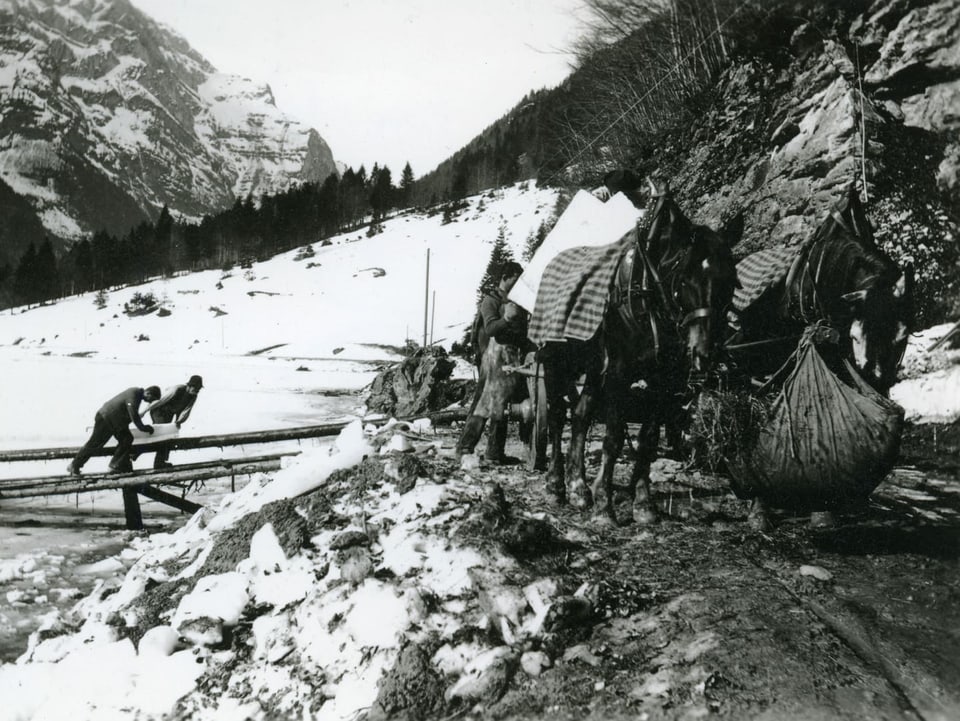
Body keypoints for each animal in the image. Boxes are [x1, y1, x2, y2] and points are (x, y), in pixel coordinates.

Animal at [532, 179, 744, 524]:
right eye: (685, 278)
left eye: (729, 280)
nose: (705, 353)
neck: (648, 292)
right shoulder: (619, 372)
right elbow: (614, 436)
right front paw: (605, 506)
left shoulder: (665, 381)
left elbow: (648, 439)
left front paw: (643, 504)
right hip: (555, 362)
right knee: (556, 416)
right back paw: (555, 486)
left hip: (594, 369)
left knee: (580, 417)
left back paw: (579, 489)